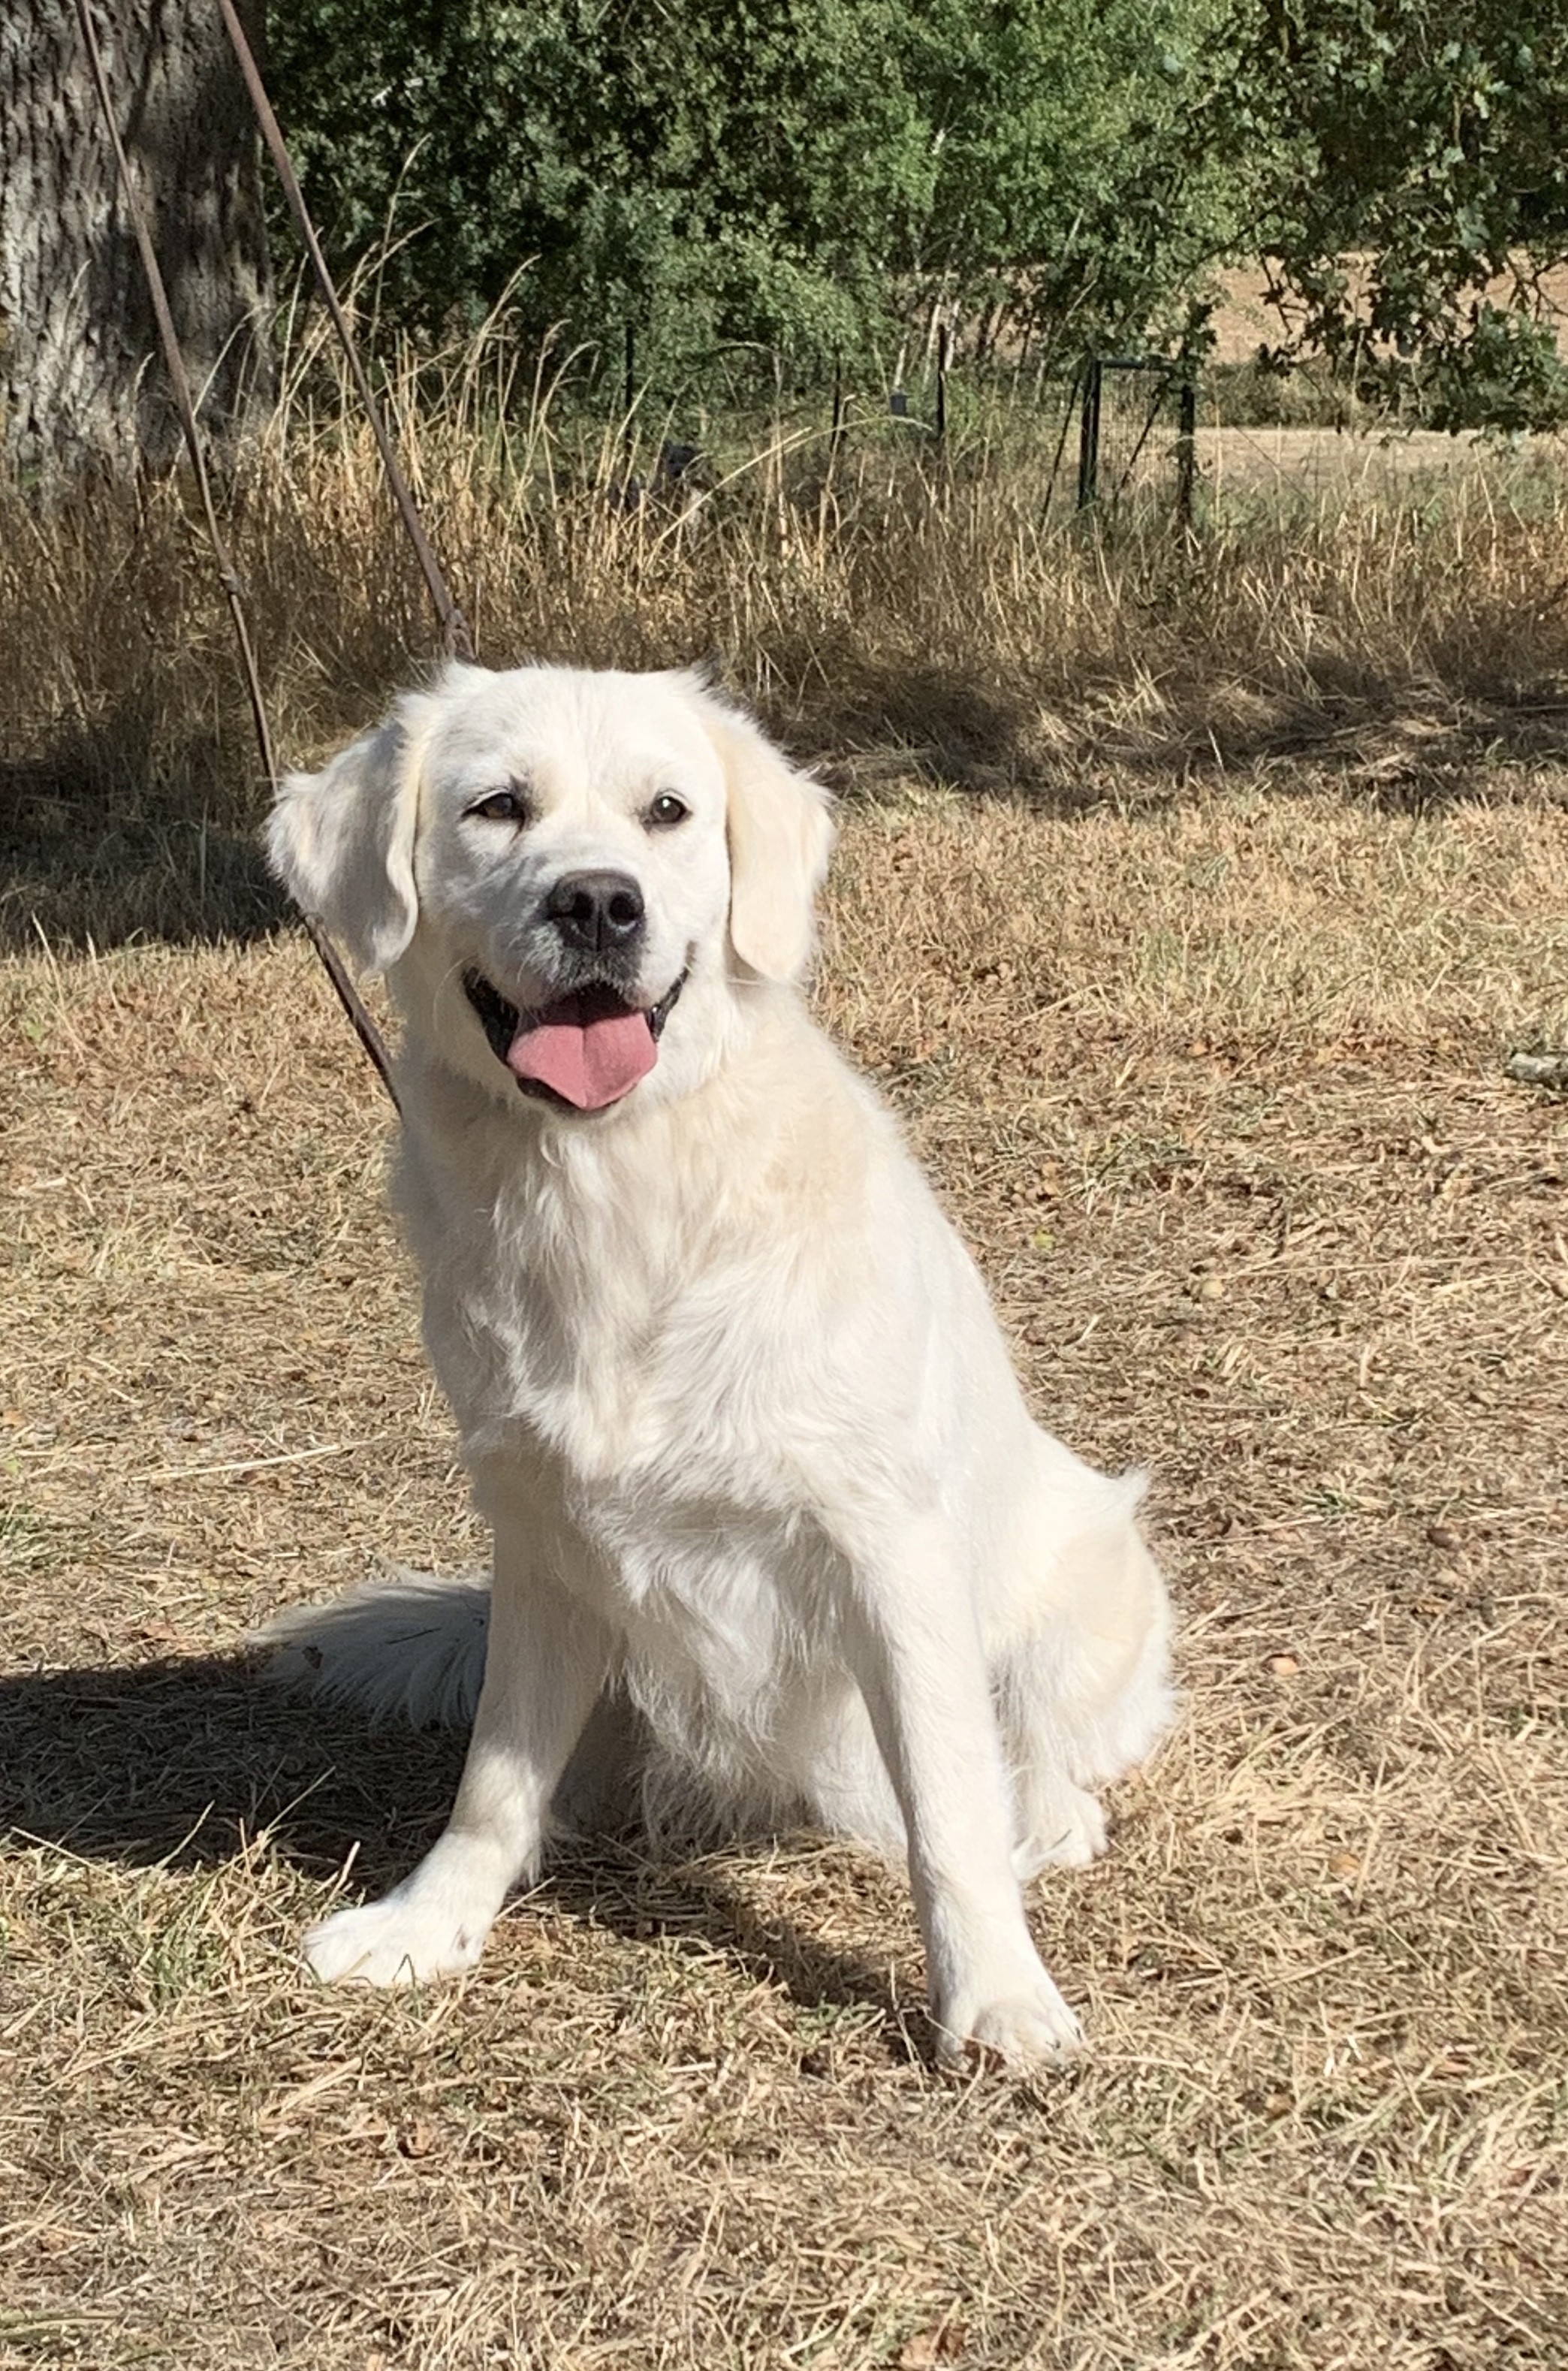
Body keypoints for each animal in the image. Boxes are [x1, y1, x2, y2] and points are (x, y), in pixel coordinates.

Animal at [263, 663, 1167, 2058]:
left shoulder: (887, 1545)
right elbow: (493, 1777)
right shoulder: (541, 1536)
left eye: (668, 811)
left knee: (1040, 1755)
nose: (596, 900)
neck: (616, 1185)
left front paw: (995, 1995)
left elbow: (950, 1809)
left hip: (1088, 1577)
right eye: (496, 807)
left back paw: (1051, 1814)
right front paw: (430, 1923)